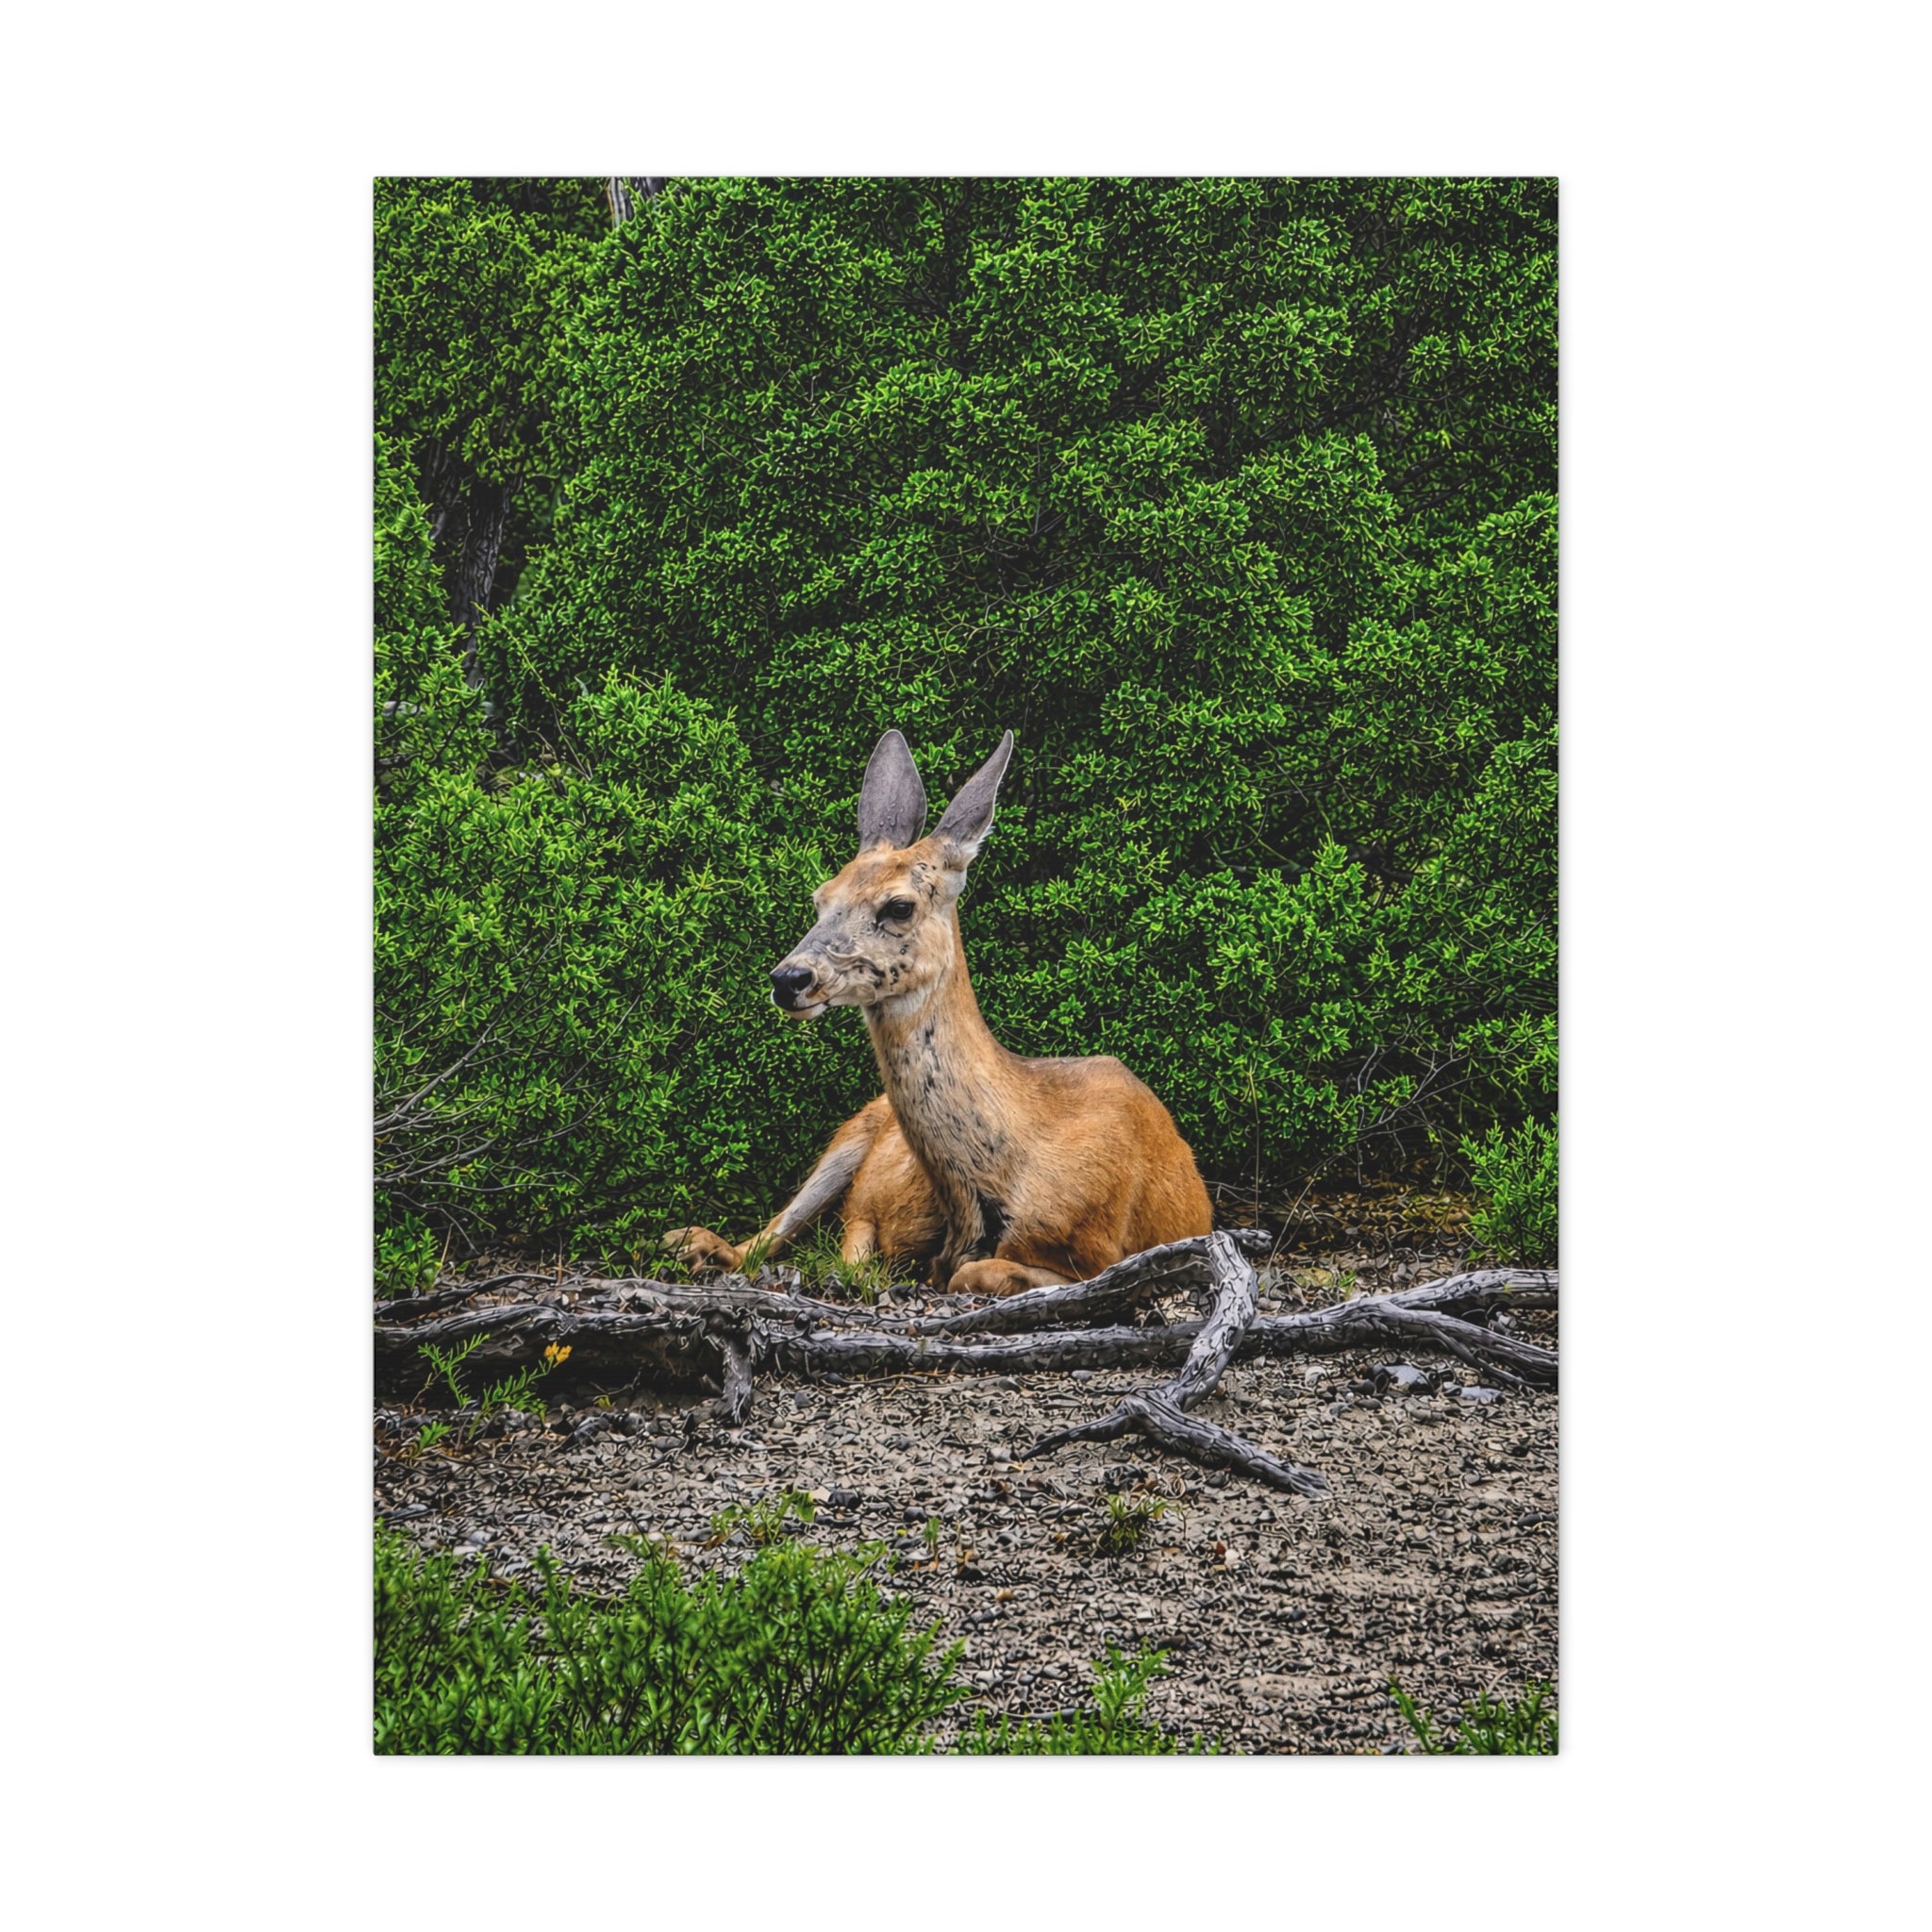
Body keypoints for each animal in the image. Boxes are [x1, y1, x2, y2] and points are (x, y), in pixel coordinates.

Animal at [663, 729, 1214, 1296]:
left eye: (899, 906)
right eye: (821, 897)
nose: (789, 979)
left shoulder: (1102, 1253)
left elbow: (971, 1272)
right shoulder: (867, 1207)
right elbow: (859, 1254)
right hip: (856, 1128)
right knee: (769, 1234)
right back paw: (691, 1242)